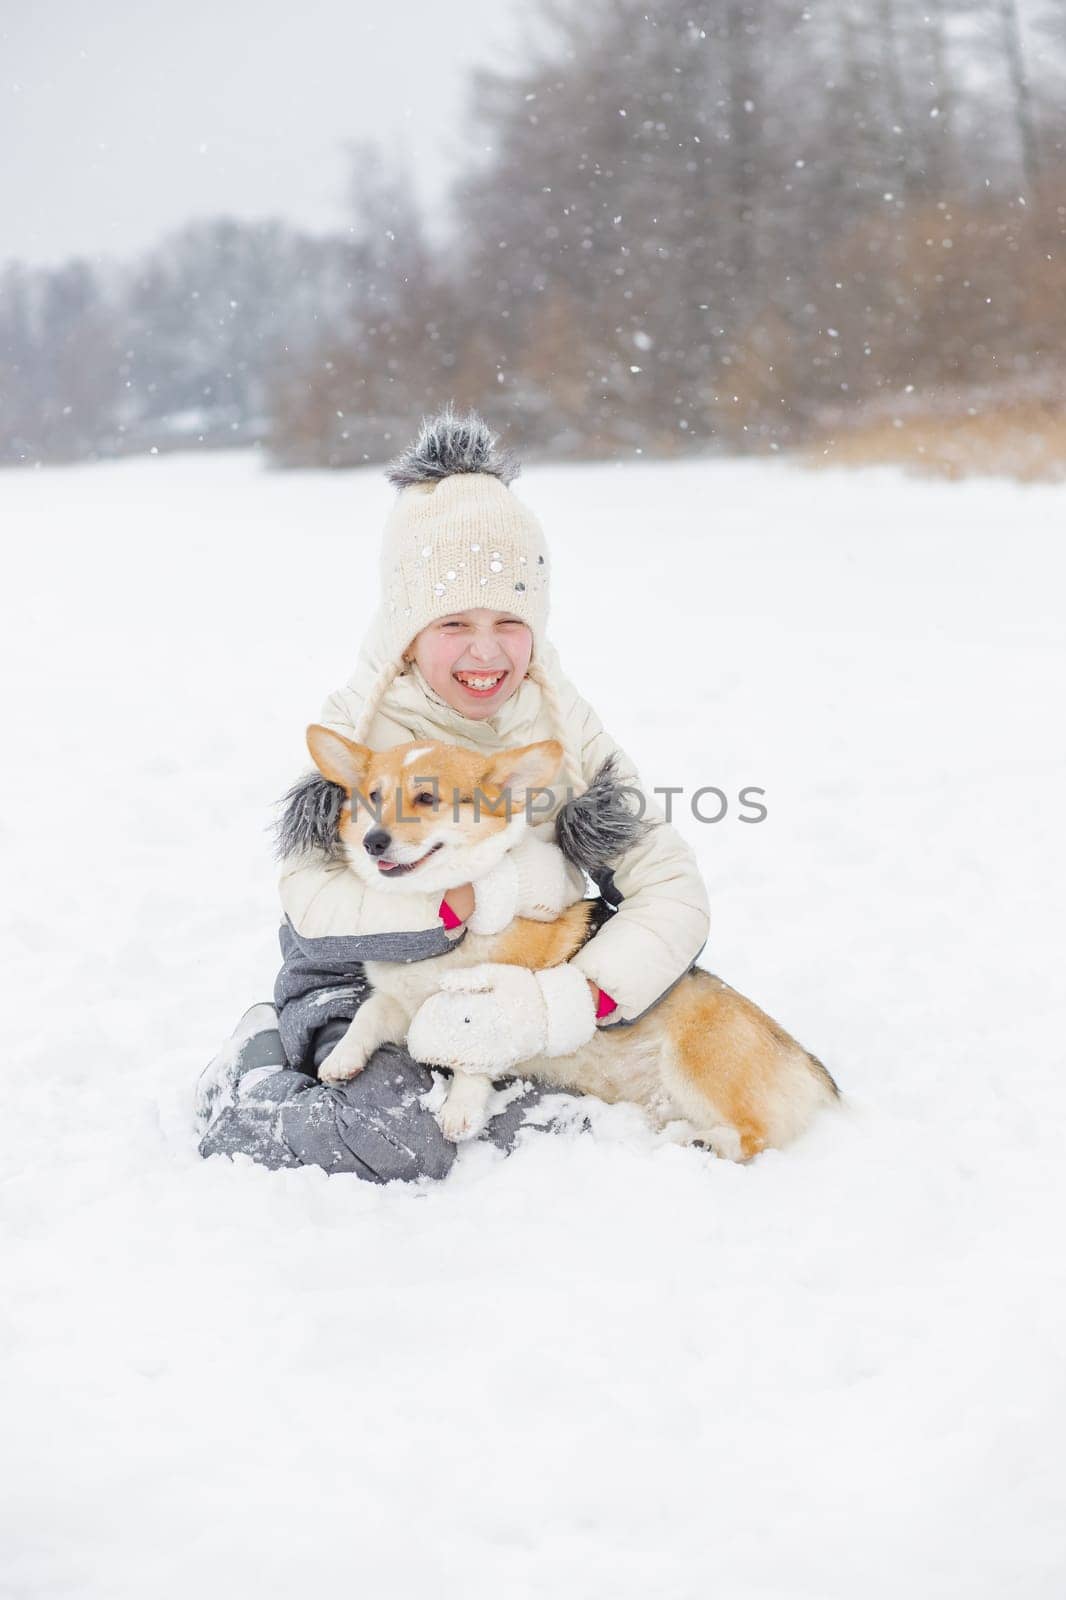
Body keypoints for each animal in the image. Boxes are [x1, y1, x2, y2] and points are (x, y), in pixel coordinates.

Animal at [302, 729, 832, 1164]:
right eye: (373, 797)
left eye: (427, 796)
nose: (373, 842)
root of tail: (809, 1065)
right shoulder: (400, 1002)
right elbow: (367, 1015)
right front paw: (341, 1059)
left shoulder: (484, 1007)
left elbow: (474, 1054)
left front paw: (459, 1111)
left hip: (697, 1062)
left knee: (753, 1135)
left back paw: (704, 1144)